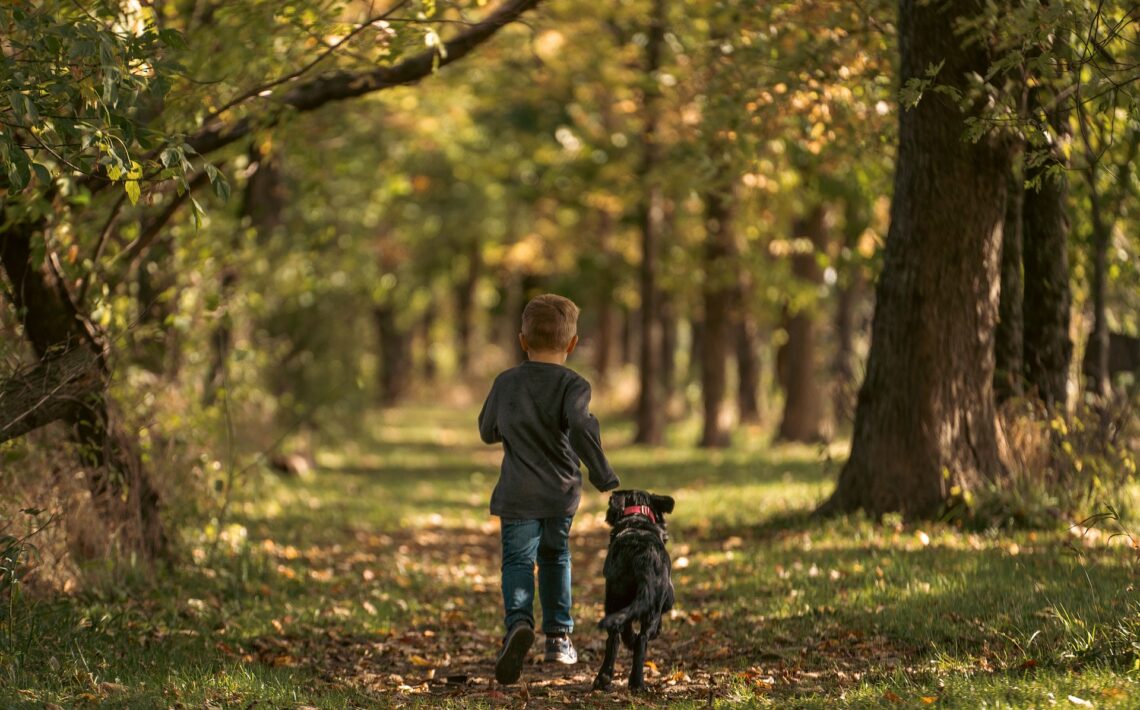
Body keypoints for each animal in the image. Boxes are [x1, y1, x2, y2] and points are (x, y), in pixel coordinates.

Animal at [592, 492, 670, 692]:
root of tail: (642, 559)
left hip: (614, 598)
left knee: (615, 636)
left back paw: (603, 679)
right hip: (652, 606)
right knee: (642, 639)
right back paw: (637, 682)